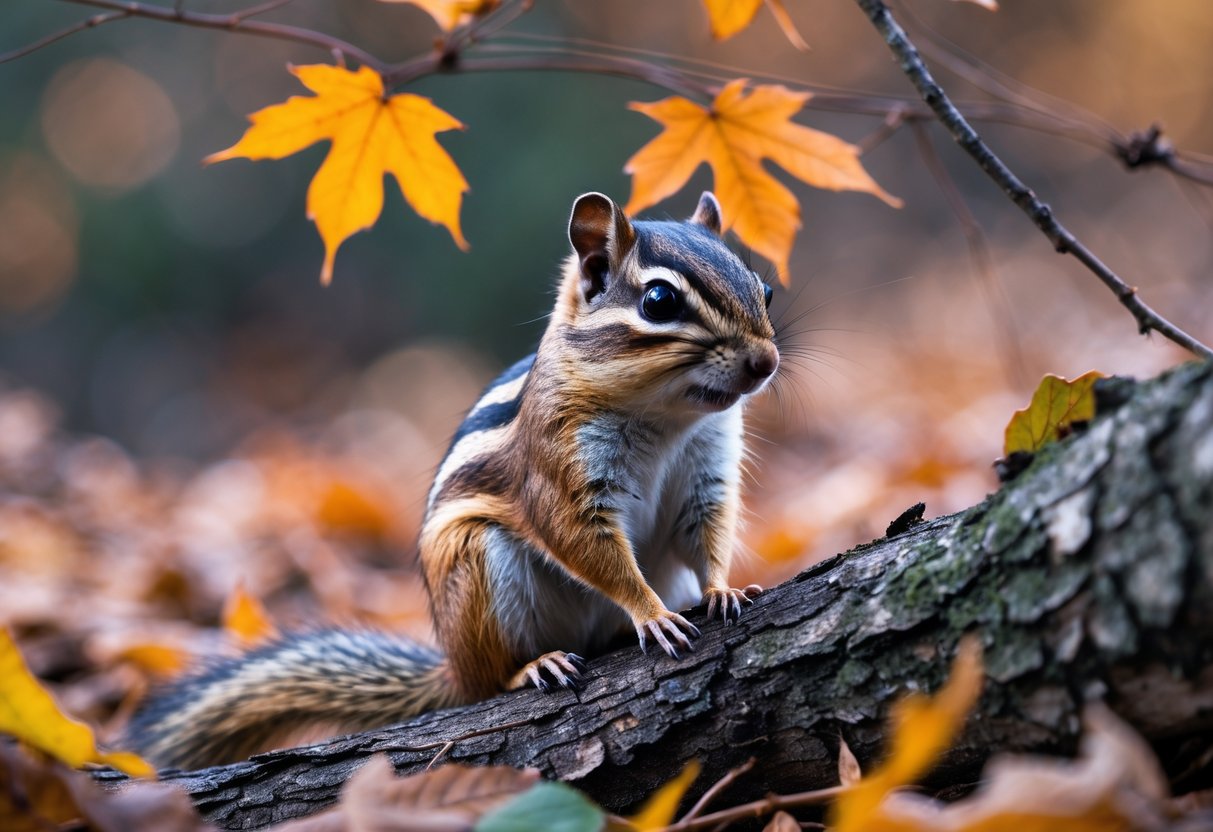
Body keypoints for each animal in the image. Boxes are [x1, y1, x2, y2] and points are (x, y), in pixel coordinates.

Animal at [127, 191, 779, 770]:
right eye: (659, 300)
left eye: (764, 288)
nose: (766, 362)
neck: (666, 420)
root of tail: (452, 668)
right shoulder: (560, 470)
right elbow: (584, 544)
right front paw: (652, 613)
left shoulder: (707, 471)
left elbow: (709, 532)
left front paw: (722, 590)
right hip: (477, 565)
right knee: (488, 682)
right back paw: (533, 667)